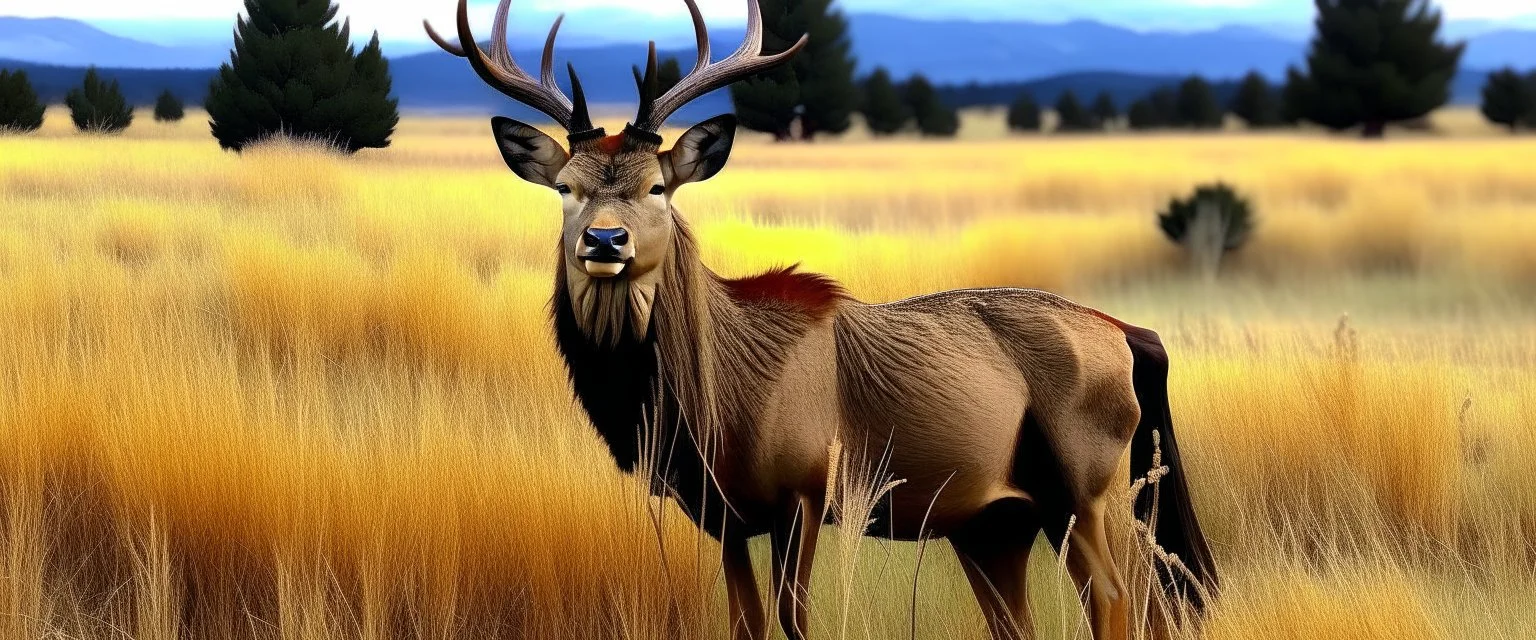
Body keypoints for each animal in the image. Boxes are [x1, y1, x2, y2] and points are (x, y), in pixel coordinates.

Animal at [427, 2, 1216, 635]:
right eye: (566, 187)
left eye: (658, 187)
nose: (604, 241)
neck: (711, 405)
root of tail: (1132, 336)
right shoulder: (723, 516)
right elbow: (745, 622)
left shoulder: (805, 487)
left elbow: (794, 620)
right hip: (996, 520)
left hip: (1084, 483)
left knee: (1120, 597)